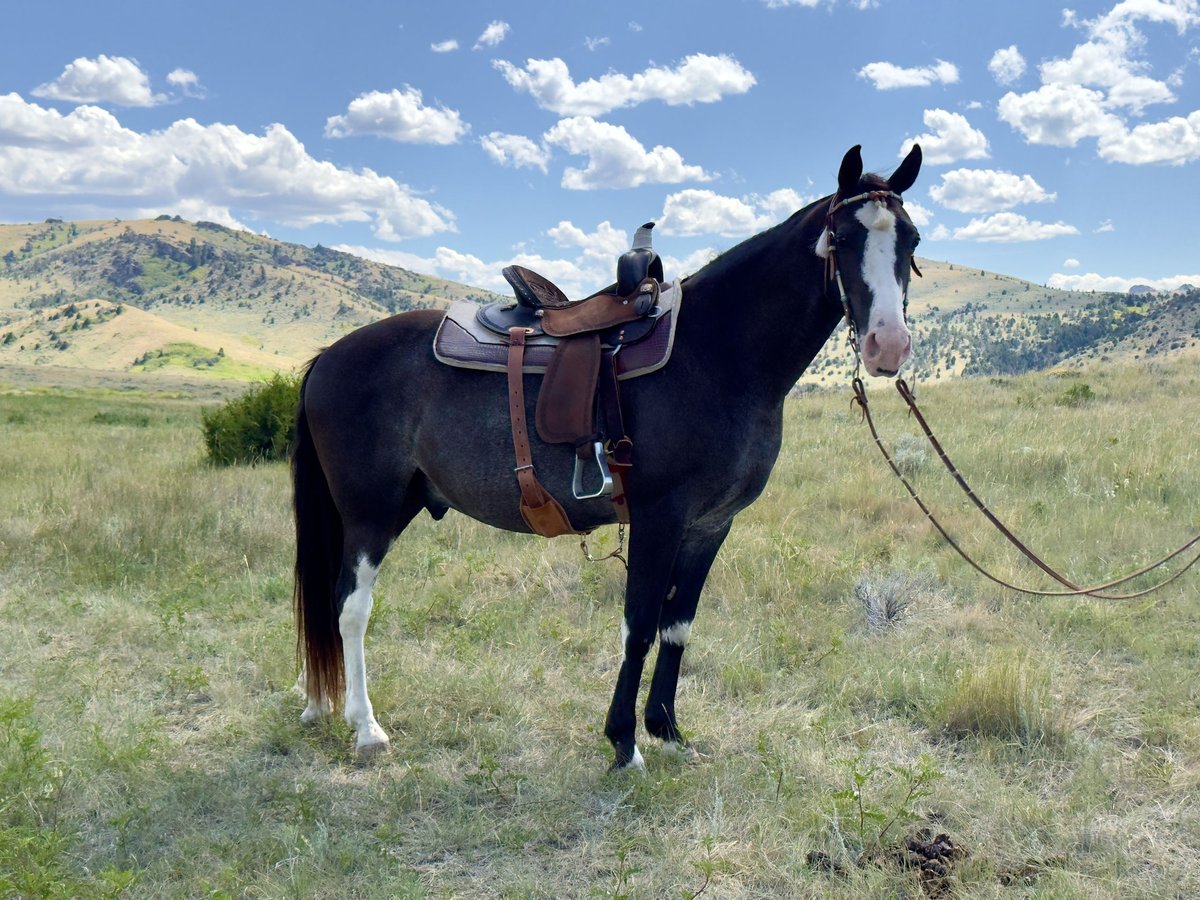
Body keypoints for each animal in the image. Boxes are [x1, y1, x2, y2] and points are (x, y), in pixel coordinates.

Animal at [292, 143, 923, 769]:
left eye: (912, 241)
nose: (888, 345)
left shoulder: (710, 526)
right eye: (842, 237)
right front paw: (625, 741)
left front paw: (667, 729)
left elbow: (677, 627)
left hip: (402, 502)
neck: (717, 353)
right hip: (370, 512)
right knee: (350, 606)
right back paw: (366, 727)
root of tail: (328, 356)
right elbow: (638, 627)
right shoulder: (659, 517)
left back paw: (321, 707)